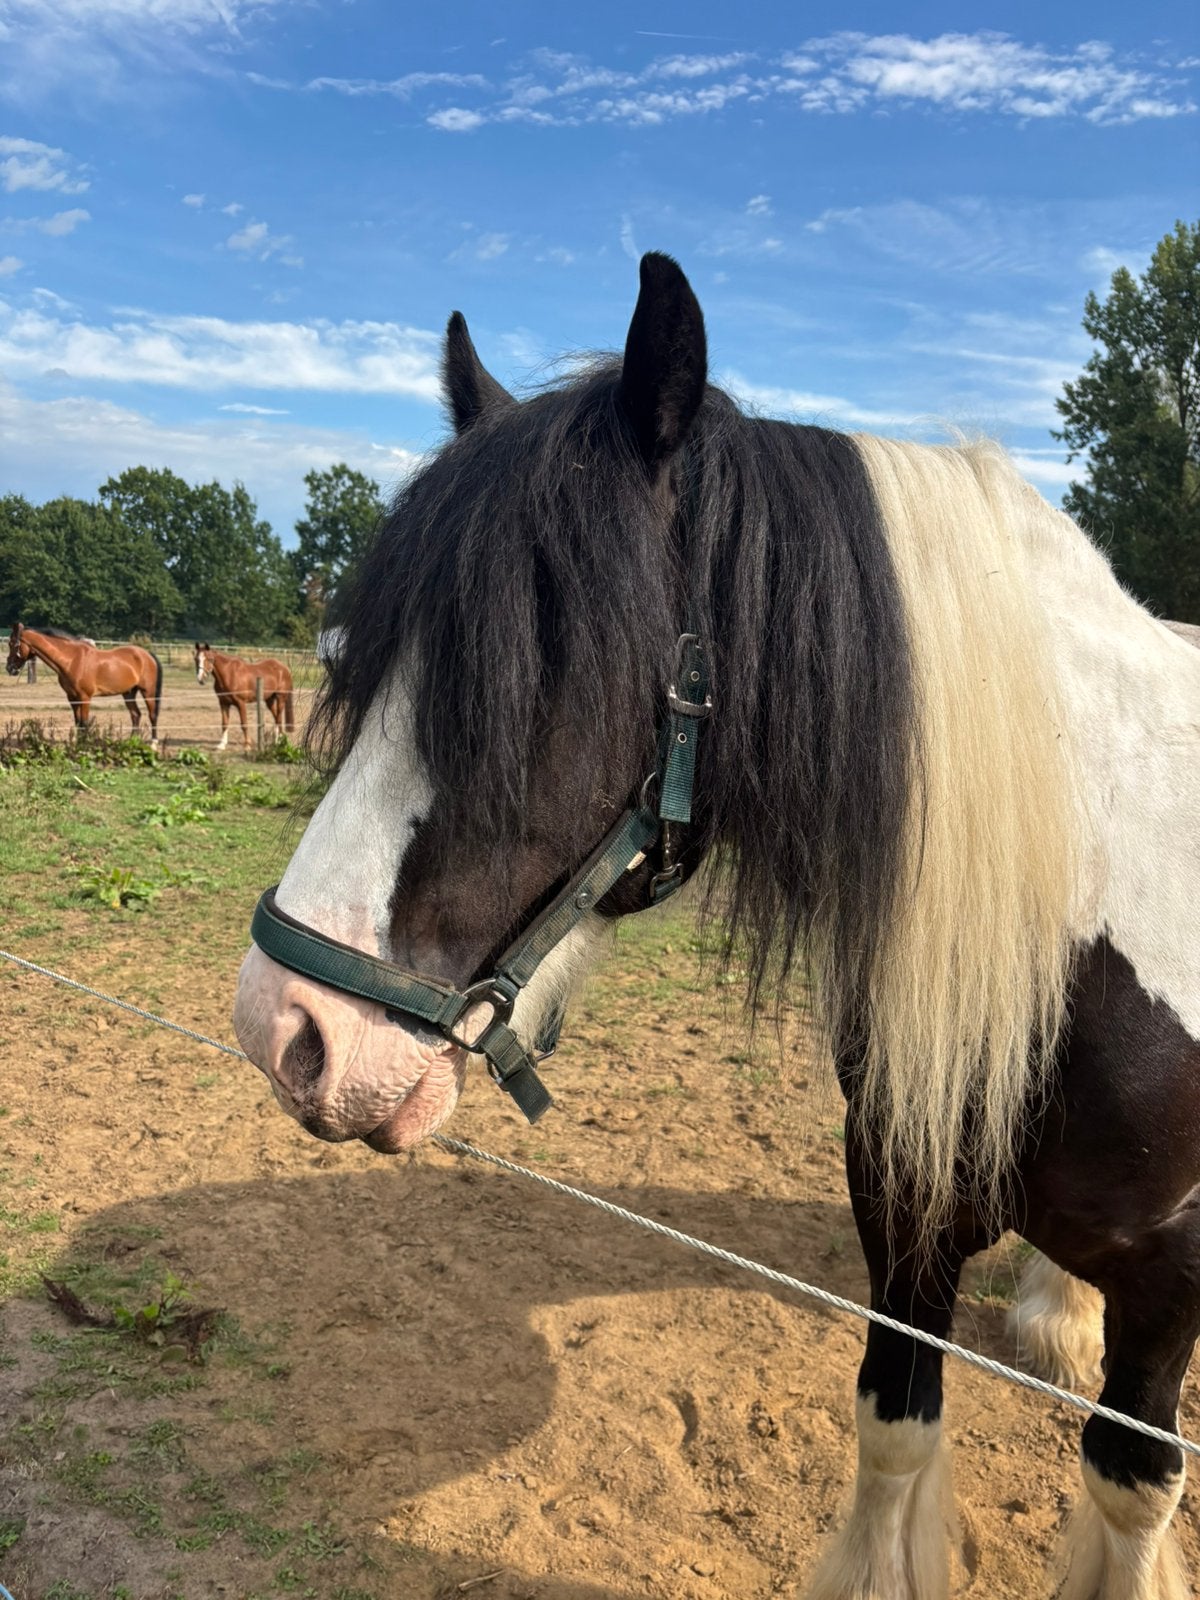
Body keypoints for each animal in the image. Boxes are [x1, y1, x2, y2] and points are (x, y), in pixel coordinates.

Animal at [6, 623, 161, 742]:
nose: (9, 668)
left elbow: (85, 723)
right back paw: (132, 741)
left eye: (13, 644)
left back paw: (153, 743)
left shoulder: (85, 698)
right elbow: (78, 722)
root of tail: (147, 655)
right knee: (135, 715)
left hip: (148, 692)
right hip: (128, 693)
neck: (72, 660)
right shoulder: (72, 698)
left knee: (152, 715)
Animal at [232, 253, 1200, 1600]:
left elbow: (1130, 1482)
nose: (286, 1029)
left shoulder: (1174, 1284)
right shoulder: (903, 1198)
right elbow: (895, 1423)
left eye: (535, 678)